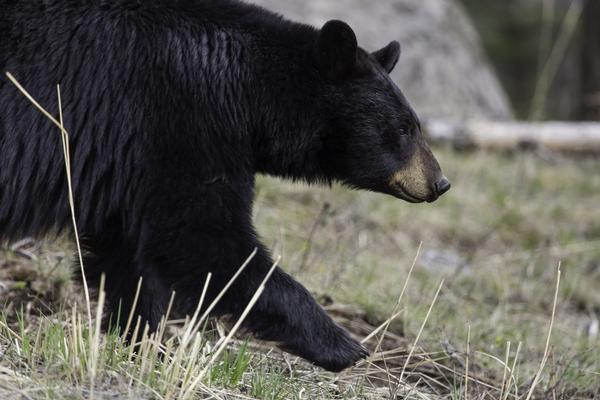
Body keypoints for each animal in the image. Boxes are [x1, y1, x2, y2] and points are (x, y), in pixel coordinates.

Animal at [0, 0, 450, 372]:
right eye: (404, 128)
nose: (440, 182)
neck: (248, 91)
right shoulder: (180, 122)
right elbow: (202, 239)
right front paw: (343, 345)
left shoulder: (131, 164)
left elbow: (128, 256)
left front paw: (142, 343)